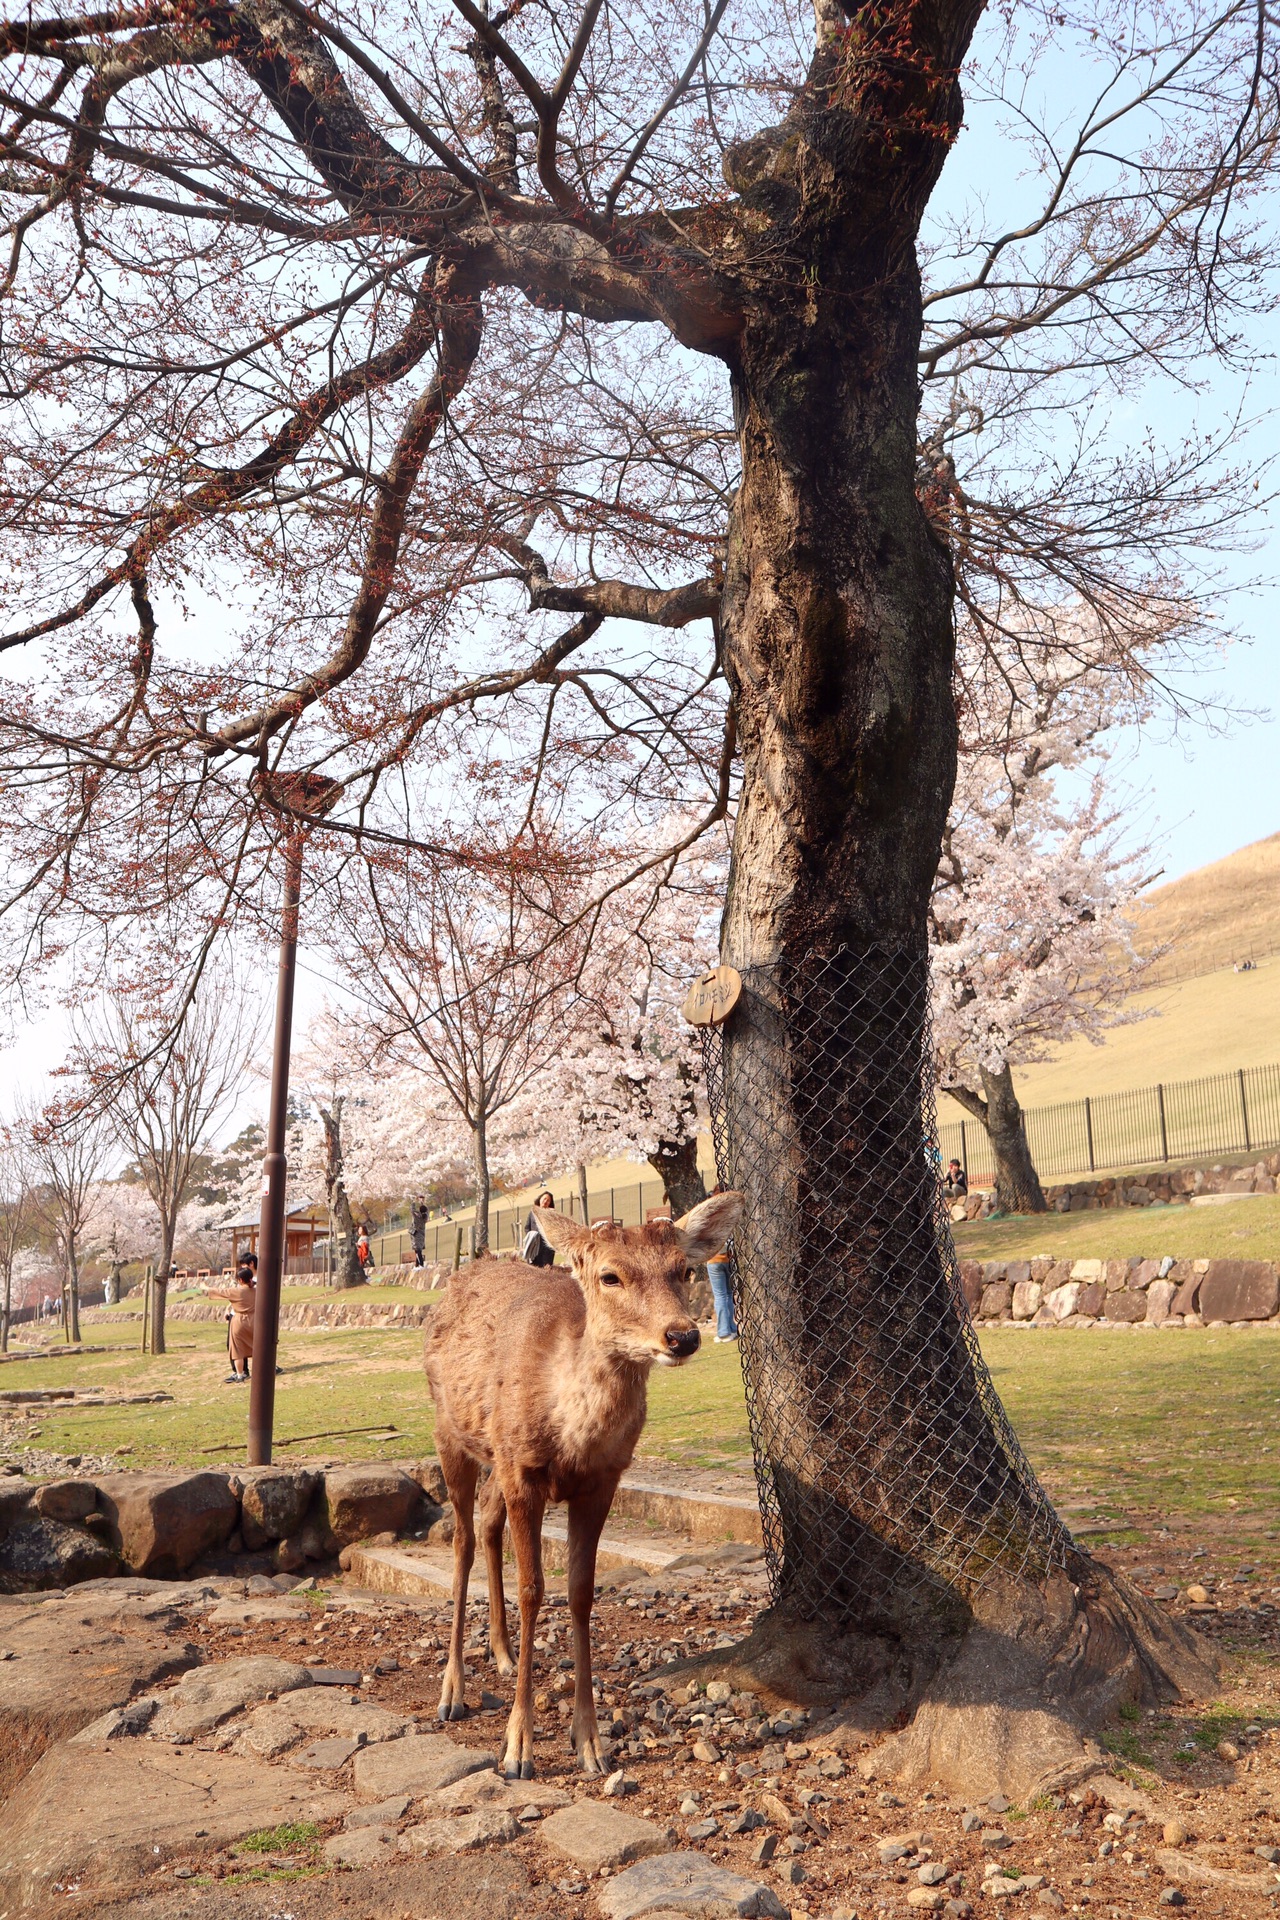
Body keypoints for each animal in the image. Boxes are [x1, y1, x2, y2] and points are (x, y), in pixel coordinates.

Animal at [422, 1190, 740, 1774]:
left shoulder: (602, 1480)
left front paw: (590, 1742)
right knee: (460, 1540)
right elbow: (532, 1590)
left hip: (496, 1456)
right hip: (449, 1431)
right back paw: (452, 1690)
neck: (568, 1433)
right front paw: (517, 1748)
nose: (682, 1335)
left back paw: (502, 1653)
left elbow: (581, 1593)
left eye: (683, 1269)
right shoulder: (523, 1471)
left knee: (487, 1521)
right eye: (610, 1275)